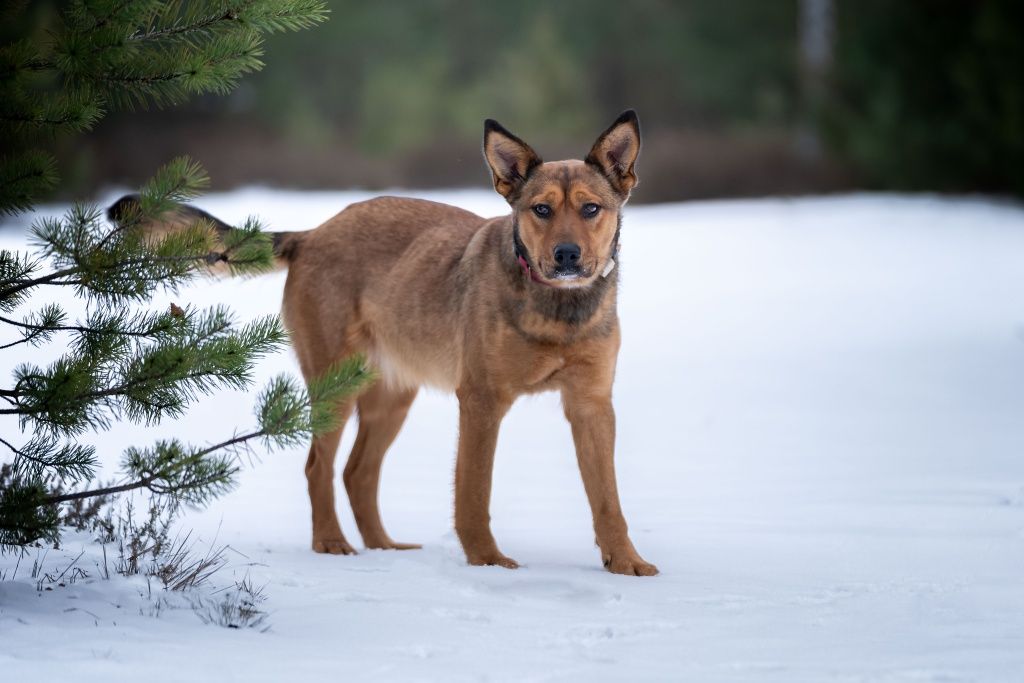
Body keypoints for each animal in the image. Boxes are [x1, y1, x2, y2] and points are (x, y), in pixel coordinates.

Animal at [112, 111, 655, 577]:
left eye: (591, 209)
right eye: (541, 210)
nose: (566, 255)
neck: (559, 309)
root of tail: (314, 233)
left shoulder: (591, 406)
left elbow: (608, 499)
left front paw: (625, 562)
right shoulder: (481, 402)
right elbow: (474, 493)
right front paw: (486, 563)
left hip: (391, 397)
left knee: (358, 472)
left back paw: (383, 548)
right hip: (335, 388)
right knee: (319, 467)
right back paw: (331, 544)